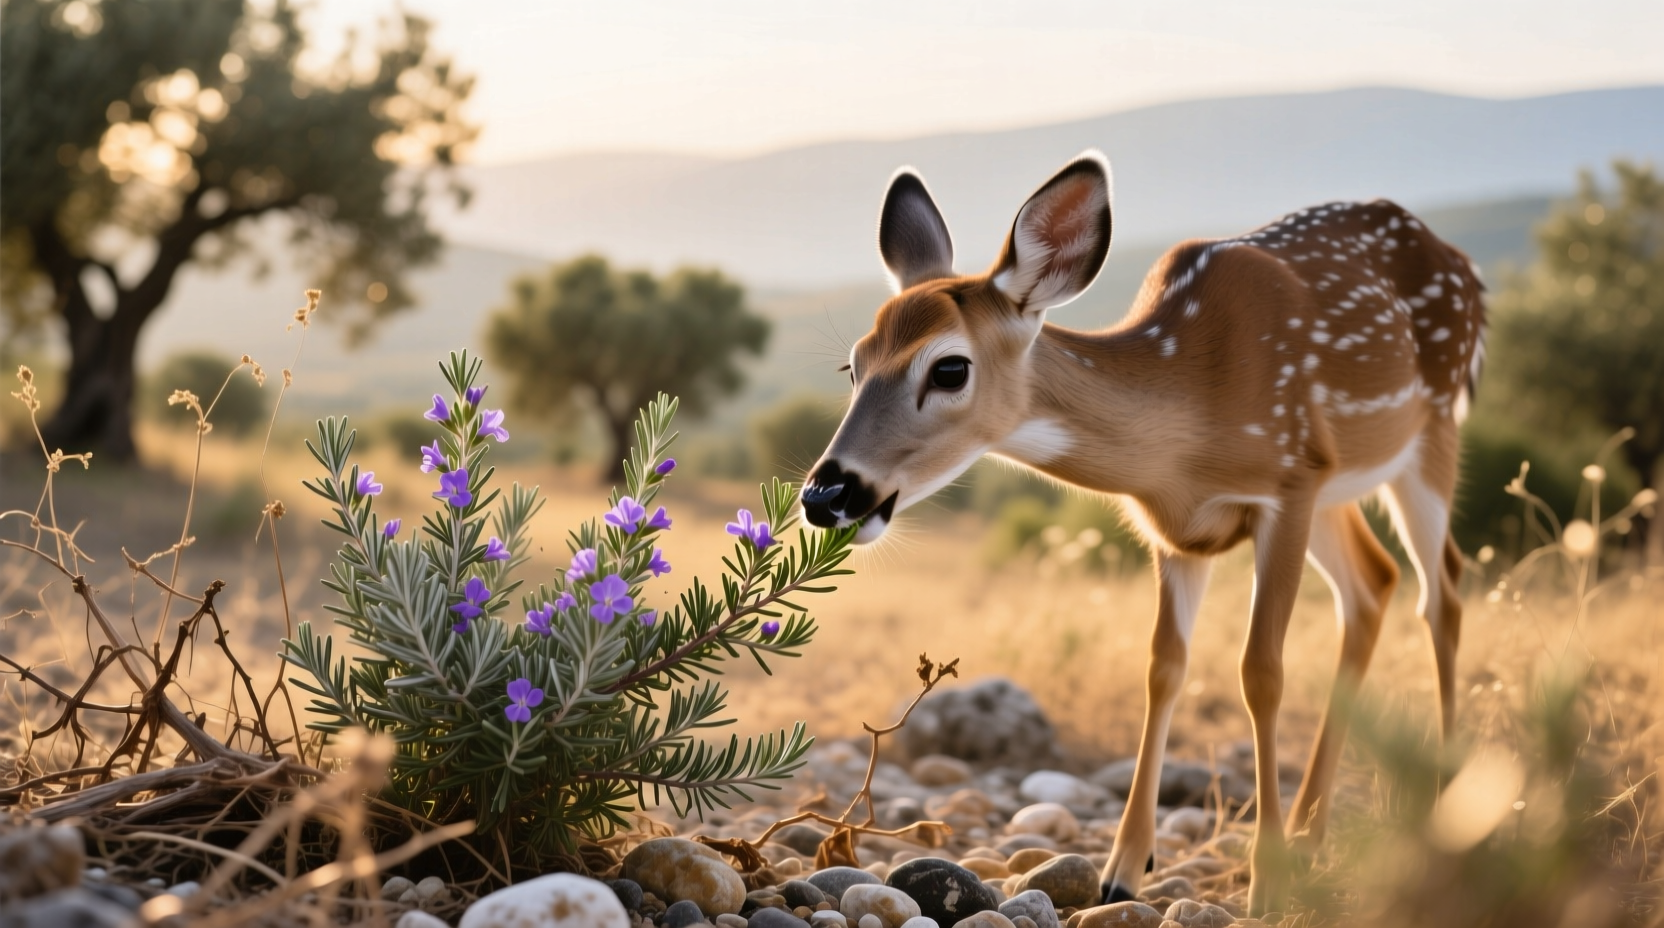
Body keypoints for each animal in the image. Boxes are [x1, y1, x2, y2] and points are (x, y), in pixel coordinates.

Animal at [798, 151, 1485, 915]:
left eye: (949, 367)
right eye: (853, 364)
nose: (827, 493)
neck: (1192, 414)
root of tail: (1460, 262)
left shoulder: (1287, 483)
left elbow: (1261, 671)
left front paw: (1266, 884)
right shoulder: (1177, 530)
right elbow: (1163, 667)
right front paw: (1123, 868)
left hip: (1429, 434)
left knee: (1443, 588)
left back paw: (1439, 814)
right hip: (1339, 485)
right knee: (1374, 583)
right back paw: (1313, 833)